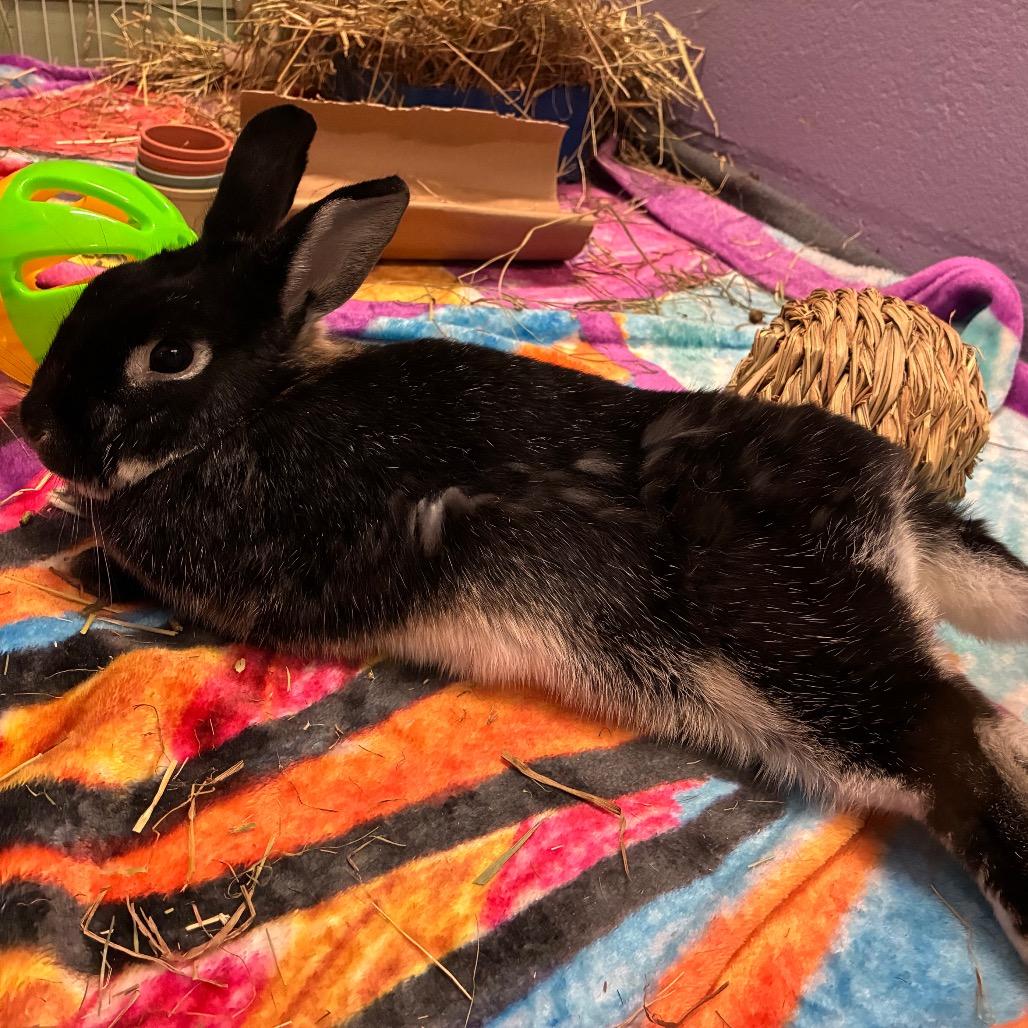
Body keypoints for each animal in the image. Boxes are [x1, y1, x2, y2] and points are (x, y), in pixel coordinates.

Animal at [19, 104, 1028, 960]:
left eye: (171, 357)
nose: (31, 427)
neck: (254, 412)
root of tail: (890, 500)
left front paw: (76, 559)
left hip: (793, 646)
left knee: (955, 732)